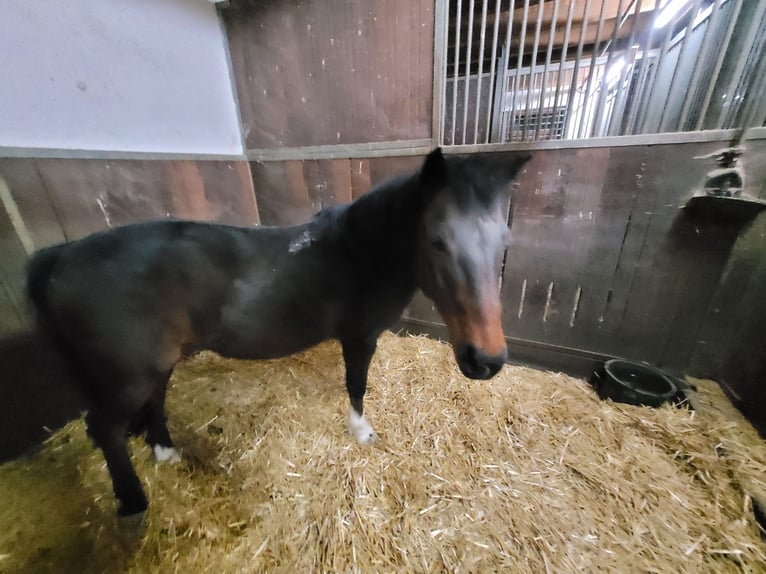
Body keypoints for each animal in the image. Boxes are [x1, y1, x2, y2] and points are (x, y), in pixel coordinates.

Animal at [27, 148, 532, 516]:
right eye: (437, 240)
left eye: (504, 242)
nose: (485, 360)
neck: (361, 252)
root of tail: (60, 257)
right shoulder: (359, 337)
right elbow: (356, 385)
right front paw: (361, 432)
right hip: (128, 377)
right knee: (105, 430)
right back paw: (135, 504)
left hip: (156, 364)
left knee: (153, 403)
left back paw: (165, 454)